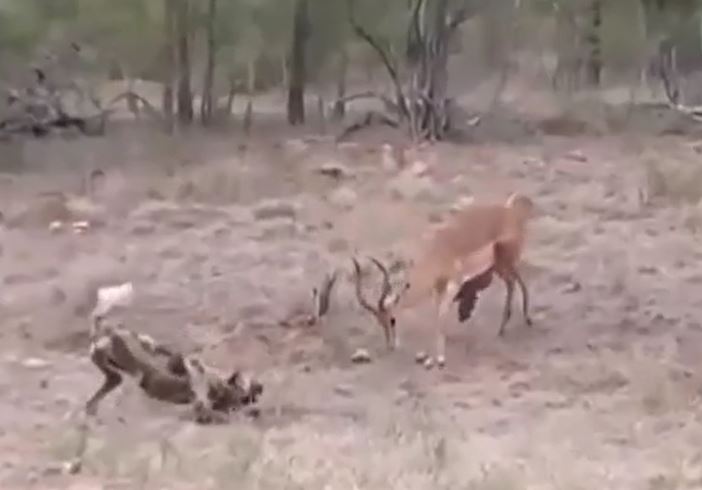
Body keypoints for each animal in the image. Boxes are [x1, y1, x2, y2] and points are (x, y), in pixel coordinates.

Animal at [352, 192, 536, 368]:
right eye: (379, 321)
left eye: (392, 320)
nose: (390, 346)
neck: (435, 253)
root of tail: (511, 211)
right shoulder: (437, 289)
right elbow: (436, 317)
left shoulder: (454, 284)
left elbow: (440, 318)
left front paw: (440, 359)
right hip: (498, 265)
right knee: (514, 282)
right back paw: (513, 324)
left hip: (505, 262)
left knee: (514, 282)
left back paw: (514, 324)